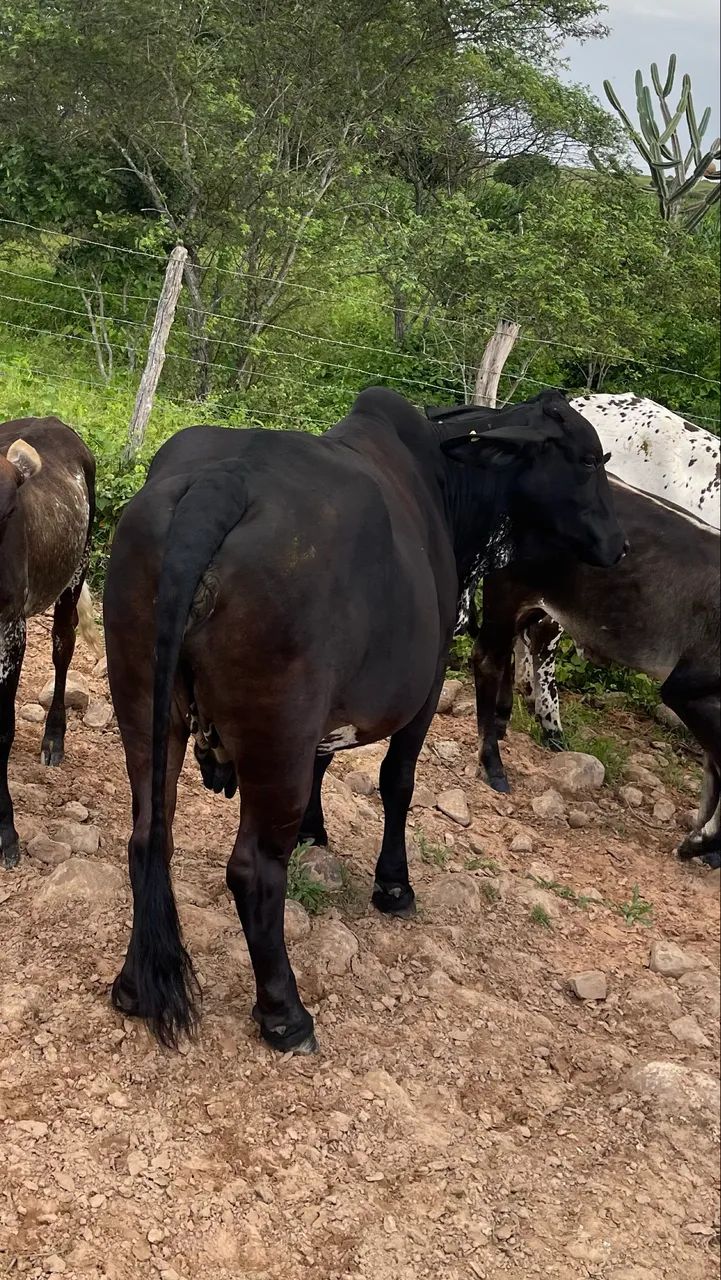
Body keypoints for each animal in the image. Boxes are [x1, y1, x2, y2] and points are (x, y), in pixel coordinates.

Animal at [103, 386, 625, 1053]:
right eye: (588, 459)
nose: (619, 544)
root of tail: (220, 486)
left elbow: (326, 765)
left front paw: (314, 832)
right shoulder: (426, 688)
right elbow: (397, 784)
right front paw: (394, 885)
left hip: (147, 706)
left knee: (149, 837)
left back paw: (136, 986)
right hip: (278, 734)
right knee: (252, 870)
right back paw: (286, 1013)